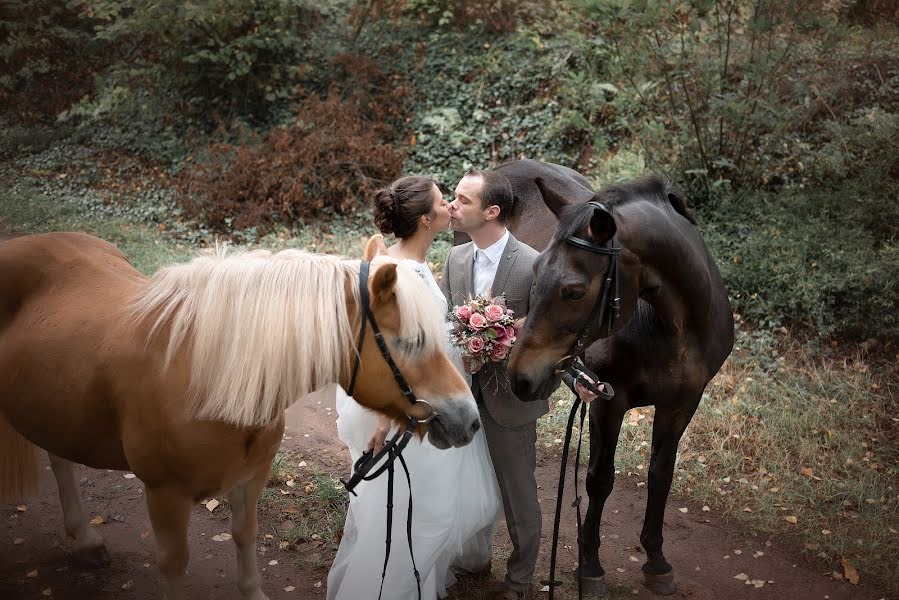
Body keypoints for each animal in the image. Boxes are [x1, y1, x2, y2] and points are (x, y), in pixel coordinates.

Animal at [0, 232, 478, 596]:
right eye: (413, 341)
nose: (469, 419)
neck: (206, 374)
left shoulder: (251, 478)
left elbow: (244, 538)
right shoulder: (164, 496)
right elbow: (174, 564)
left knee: (59, 456)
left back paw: (83, 539)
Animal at [502, 159, 736, 596]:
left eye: (575, 291)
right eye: (535, 269)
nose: (519, 376)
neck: (671, 327)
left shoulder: (682, 404)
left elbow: (660, 475)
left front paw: (656, 560)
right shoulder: (607, 403)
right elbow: (599, 479)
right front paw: (590, 566)